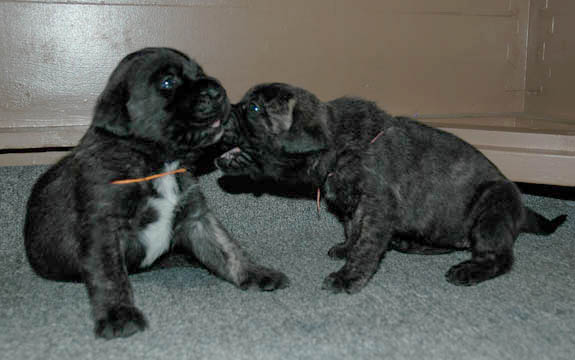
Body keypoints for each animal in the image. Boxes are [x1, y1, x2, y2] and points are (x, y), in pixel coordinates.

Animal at [24, 48, 290, 340]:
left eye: (200, 72)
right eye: (167, 82)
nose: (218, 90)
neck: (161, 162)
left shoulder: (197, 216)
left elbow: (227, 247)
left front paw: (255, 273)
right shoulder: (103, 228)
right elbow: (110, 275)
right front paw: (119, 314)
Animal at [216, 83, 568, 294]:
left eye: (254, 109)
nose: (222, 111)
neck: (338, 145)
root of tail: (521, 210)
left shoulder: (376, 208)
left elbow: (366, 245)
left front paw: (348, 277)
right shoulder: (355, 207)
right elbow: (352, 231)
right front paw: (345, 248)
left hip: (491, 212)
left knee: (499, 257)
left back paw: (469, 270)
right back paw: (408, 243)